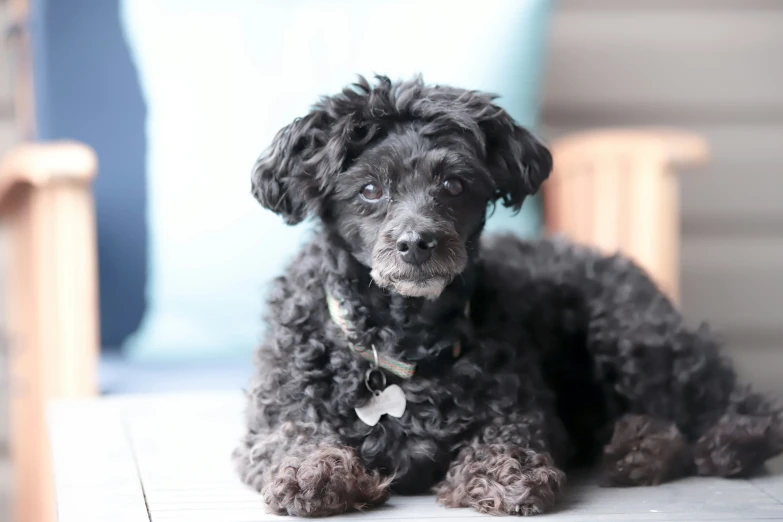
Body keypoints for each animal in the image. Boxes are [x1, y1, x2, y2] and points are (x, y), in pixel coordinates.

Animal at [234, 75, 783, 512]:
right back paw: (637, 447)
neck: (399, 339)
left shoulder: (524, 412)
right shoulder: (269, 422)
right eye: (370, 190)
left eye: (454, 186)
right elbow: (293, 435)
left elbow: (509, 441)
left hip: (627, 336)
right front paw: (315, 471)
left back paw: (687, 448)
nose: (416, 243)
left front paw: (503, 475)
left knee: (739, 411)